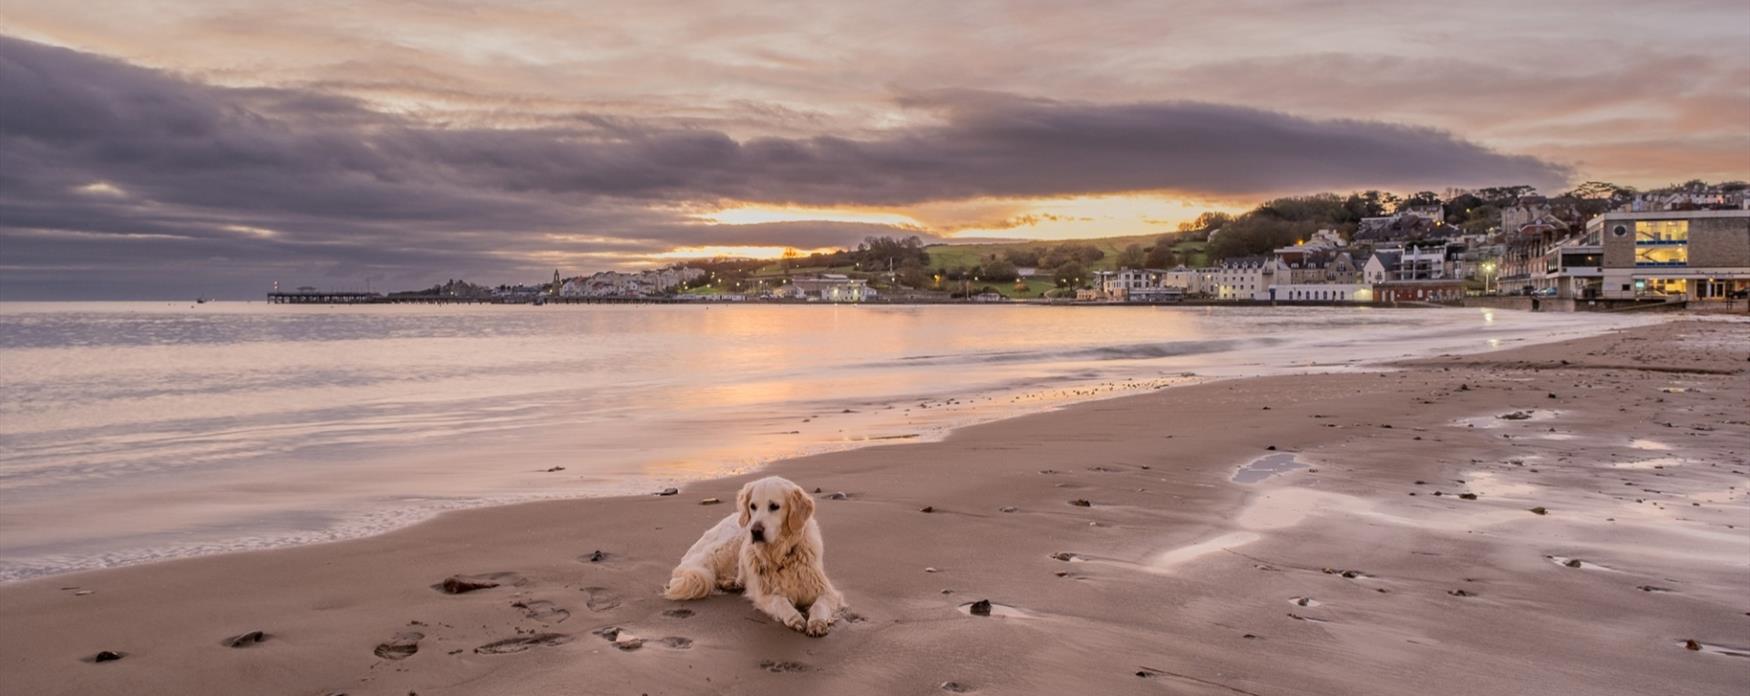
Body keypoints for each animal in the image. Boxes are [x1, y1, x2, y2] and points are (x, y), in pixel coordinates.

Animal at [658, 475, 843, 633]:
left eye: (774, 506)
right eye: (753, 506)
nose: (755, 531)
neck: (780, 554)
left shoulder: (826, 590)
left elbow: (820, 605)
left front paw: (817, 622)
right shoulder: (765, 594)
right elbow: (780, 601)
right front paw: (794, 617)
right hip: (727, 546)